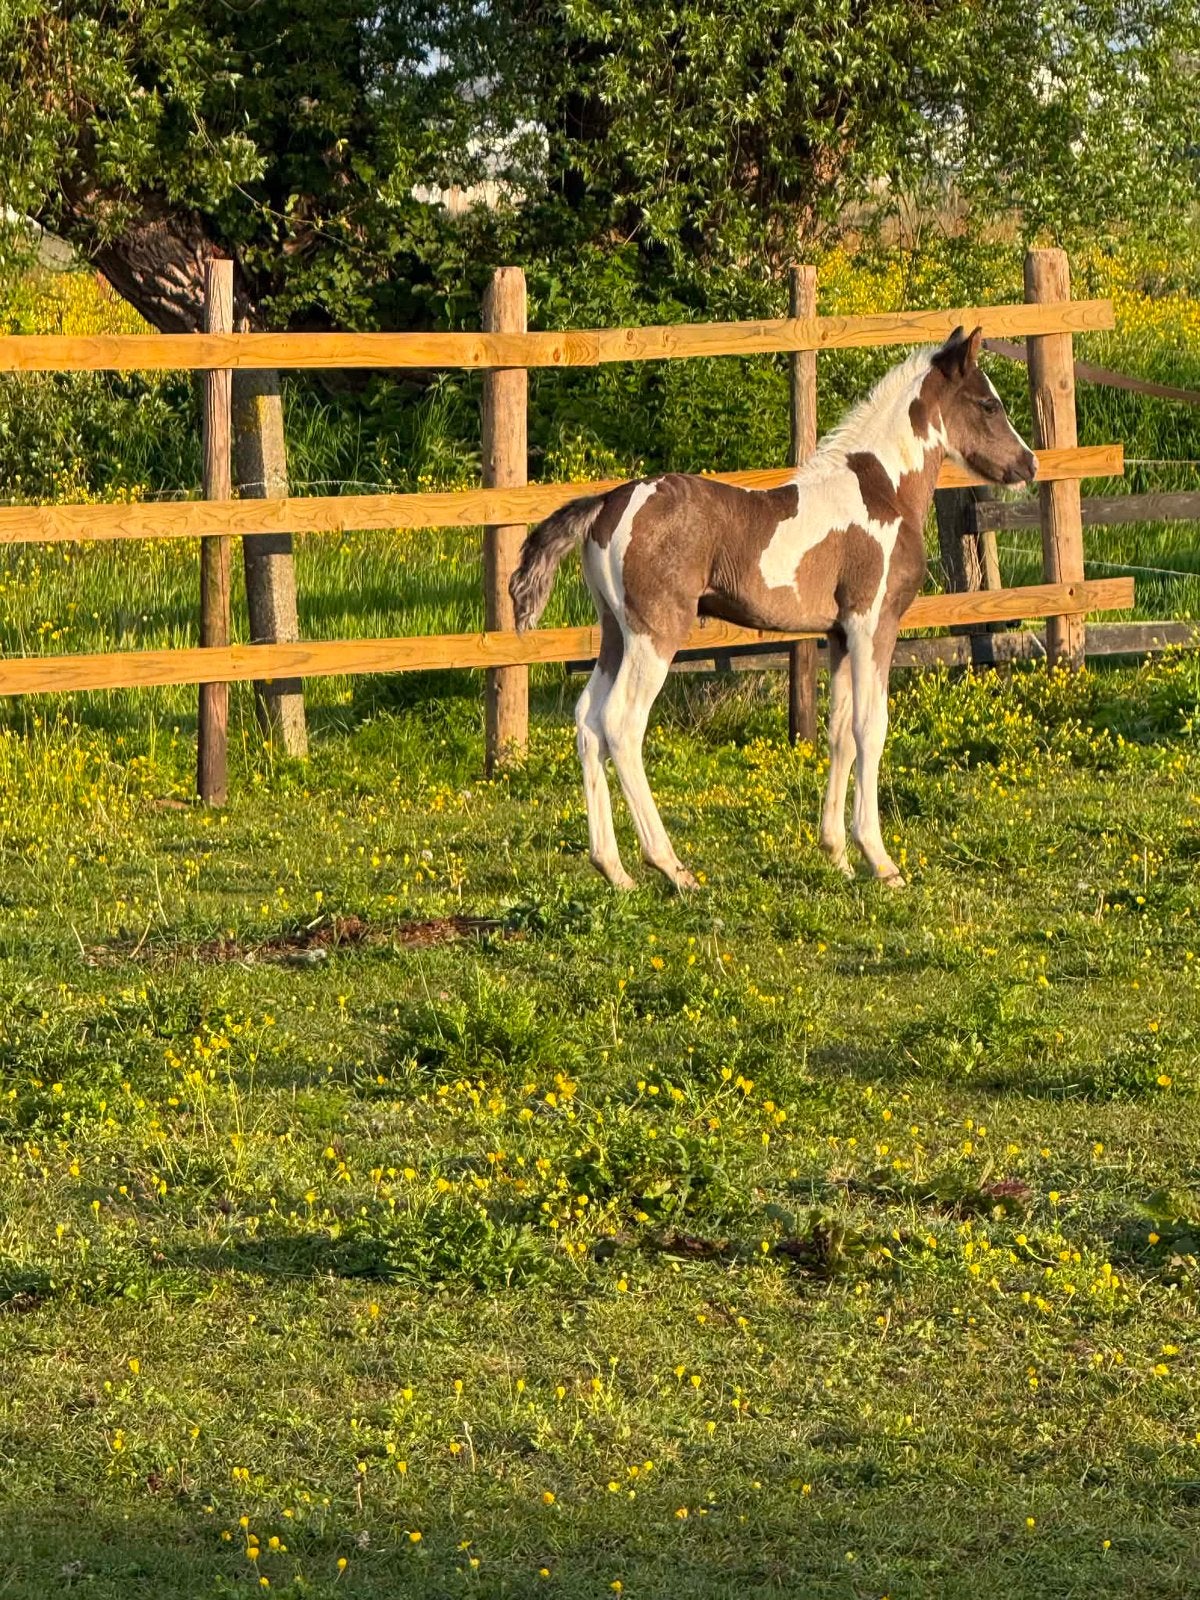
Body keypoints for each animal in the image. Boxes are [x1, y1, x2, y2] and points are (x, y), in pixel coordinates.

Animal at [509, 325, 1037, 892]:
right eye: (989, 404)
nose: (1028, 464)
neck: (883, 491)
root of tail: (607, 503)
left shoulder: (838, 634)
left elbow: (839, 732)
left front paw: (837, 855)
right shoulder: (873, 622)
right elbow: (870, 728)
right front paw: (880, 860)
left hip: (614, 631)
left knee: (587, 721)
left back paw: (615, 870)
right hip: (656, 634)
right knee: (621, 725)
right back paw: (672, 867)